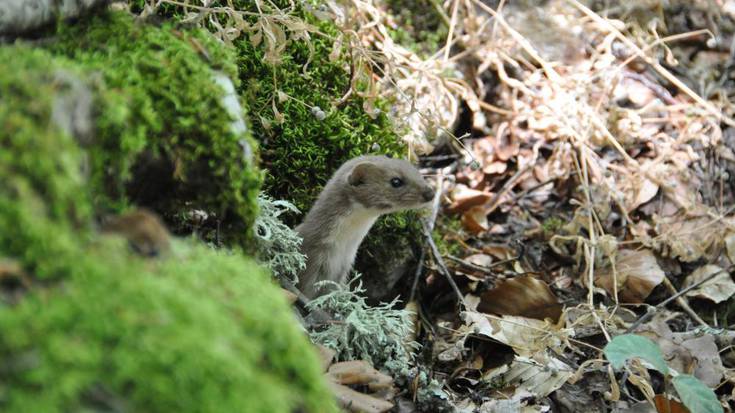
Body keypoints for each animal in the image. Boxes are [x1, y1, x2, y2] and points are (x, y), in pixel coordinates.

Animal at [294, 156, 434, 298]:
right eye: (396, 181)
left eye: (417, 173)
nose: (430, 193)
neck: (340, 248)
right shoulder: (313, 260)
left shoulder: (343, 267)